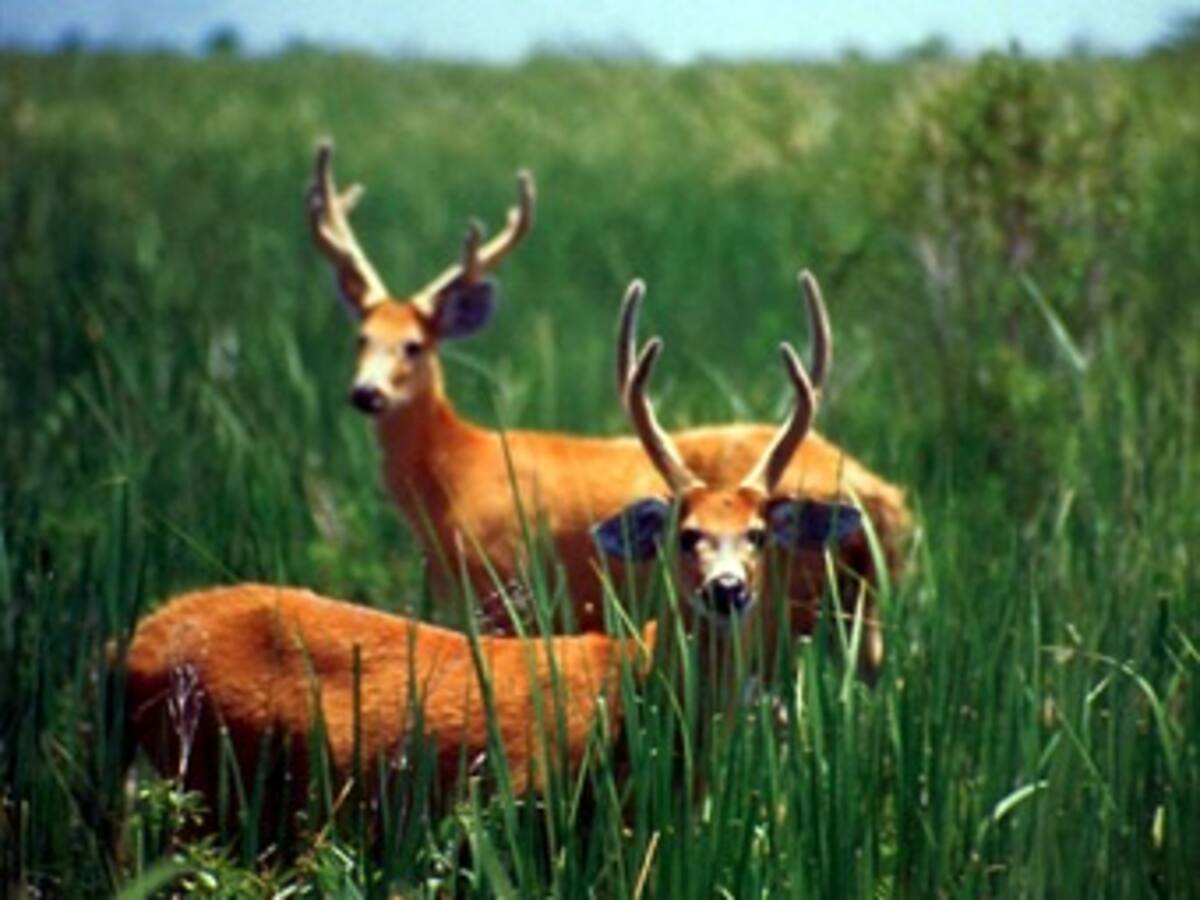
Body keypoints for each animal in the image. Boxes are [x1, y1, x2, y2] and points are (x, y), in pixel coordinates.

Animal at [120, 301, 859, 835]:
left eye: (758, 535)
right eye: (688, 535)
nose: (726, 589)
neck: (635, 692)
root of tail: (130, 645)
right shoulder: (527, 812)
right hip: (215, 778)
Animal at [308, 141, 906, 677]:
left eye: (413, 345)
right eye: (361, 338)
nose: (366, 393)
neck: (454, 471)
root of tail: (887, 499)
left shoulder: (500, 585)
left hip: (790, 614)